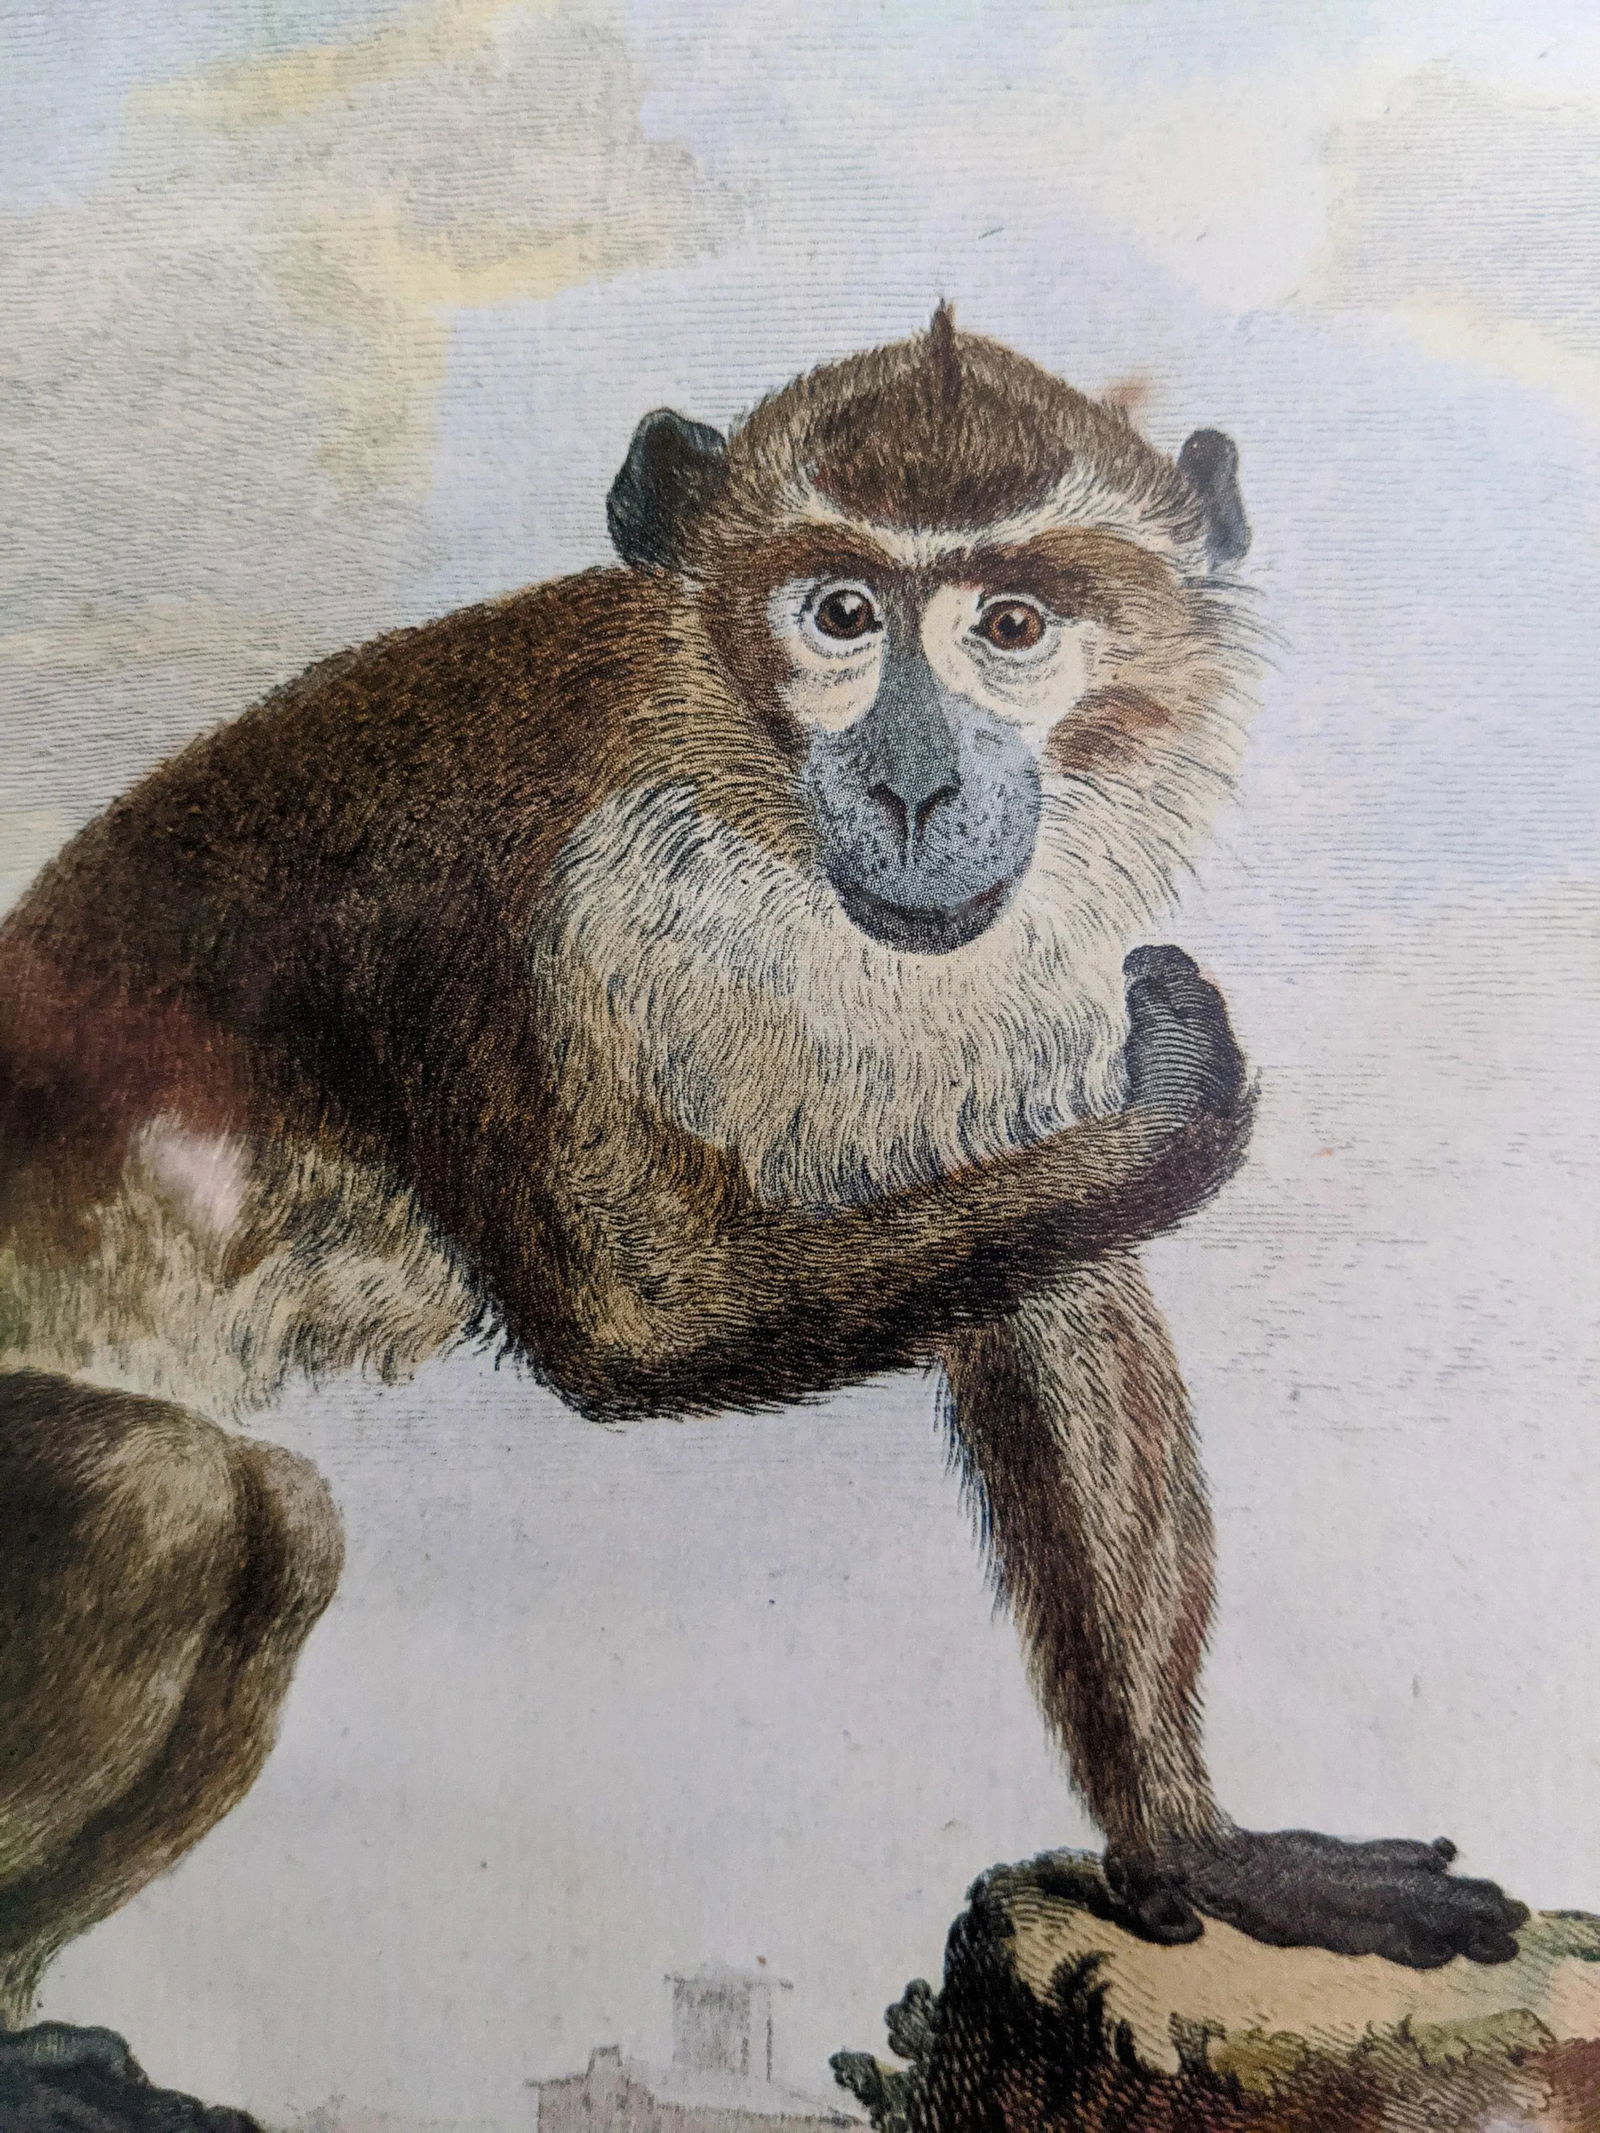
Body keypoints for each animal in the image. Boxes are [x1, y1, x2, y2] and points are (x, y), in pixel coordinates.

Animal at [0, 309, 1527, 2066]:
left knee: (268, 1531)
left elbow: (1048, 1301)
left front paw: (1194, 1845)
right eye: (842, 615)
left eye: (1014, 625)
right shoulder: (496, 902)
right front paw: (1185, 1113)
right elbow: (625, 1333)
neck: (741, 813)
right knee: (173, 1505)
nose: (922, 787)